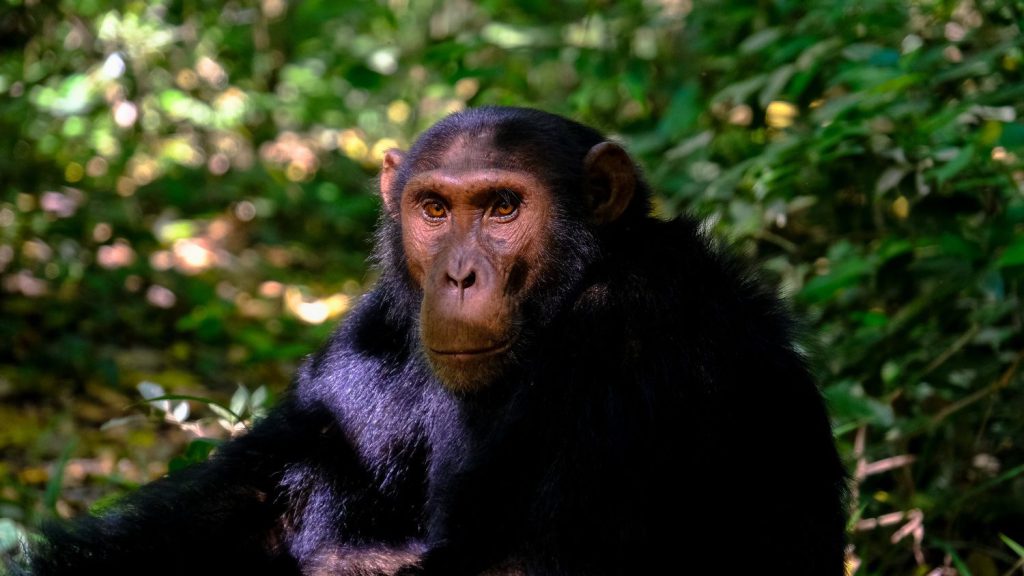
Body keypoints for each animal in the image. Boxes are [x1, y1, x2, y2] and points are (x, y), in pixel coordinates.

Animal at [32, 105, 847, 569]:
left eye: (503, 207)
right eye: (433, 209)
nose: (458, 275)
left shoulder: (635, 337)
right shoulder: (373, 335)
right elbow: (250, 507)